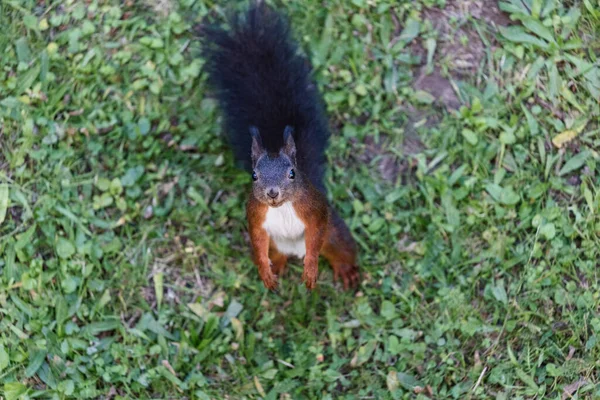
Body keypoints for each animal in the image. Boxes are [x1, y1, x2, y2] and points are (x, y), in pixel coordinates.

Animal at [204, 3, 358, 290]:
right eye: (254, 175)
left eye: (292, 173)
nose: (273, 193)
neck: (282, 207)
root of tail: (293, 252)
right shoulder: (255, 216)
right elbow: (256, 237)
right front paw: (266, 272)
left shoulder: (315, 212)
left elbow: (315, 232)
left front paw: (311, 270)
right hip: (276, 247)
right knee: (272, 254)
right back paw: (276, 268)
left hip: (335, 234)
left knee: (338, 248)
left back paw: (346, 270)